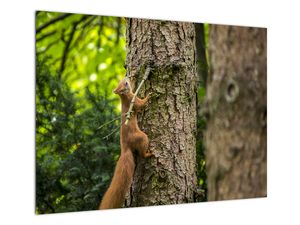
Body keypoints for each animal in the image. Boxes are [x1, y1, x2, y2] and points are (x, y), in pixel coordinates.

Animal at [99, 77, 152, 209]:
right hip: (141, 137)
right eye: (126, 84)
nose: (127, 77)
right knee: (142, 153)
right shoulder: (133, 100)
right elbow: (141, 104)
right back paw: (148, 154)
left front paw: (134, 76)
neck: (124, 97)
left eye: (123, 81)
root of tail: (124, 148)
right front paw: (148, 96)